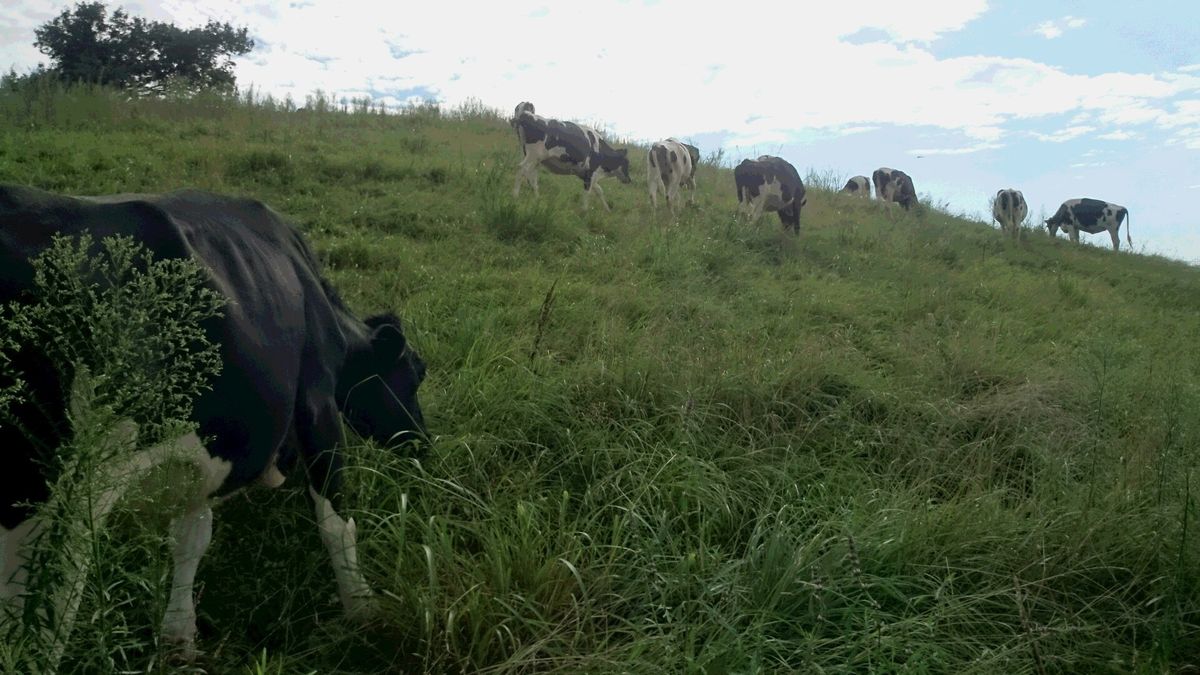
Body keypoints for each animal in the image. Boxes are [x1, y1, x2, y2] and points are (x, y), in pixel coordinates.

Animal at [0, 182, 432, 653]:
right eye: (416, 373)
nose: (424, 444)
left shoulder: (209, 446)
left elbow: (191, 535)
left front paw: (178, 633)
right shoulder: (318, 406)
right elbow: (336, 521)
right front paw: (363, 607)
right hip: (71, 499)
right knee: (43, 621)